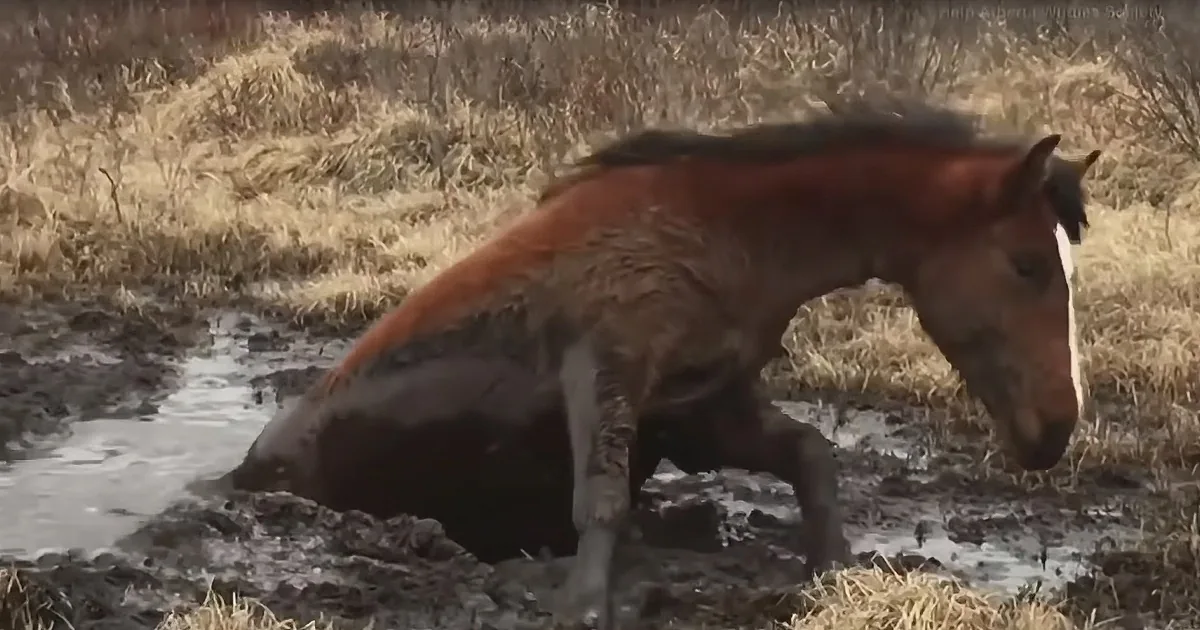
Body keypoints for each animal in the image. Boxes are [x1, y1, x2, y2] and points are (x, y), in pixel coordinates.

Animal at [215, 100, 1101, 630]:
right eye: (1026, 263)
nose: (1057, 428)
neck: (729, 233)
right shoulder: (607, 365)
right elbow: (600, 502)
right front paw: (584, 605)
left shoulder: (701, 405)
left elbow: (811, 457)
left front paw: (835, 572)